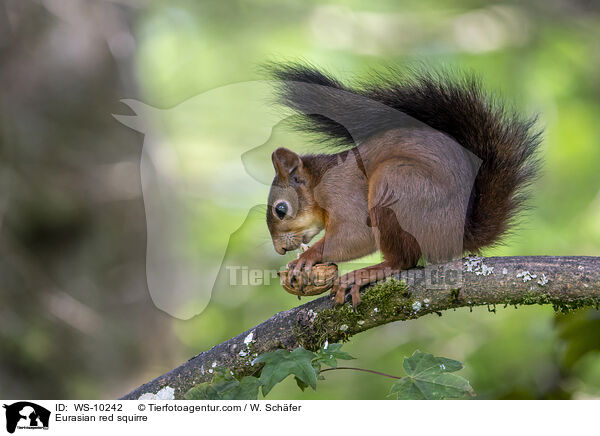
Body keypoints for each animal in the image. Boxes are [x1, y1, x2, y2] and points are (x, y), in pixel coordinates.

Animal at [264, 63, 540, 308]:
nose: (279, 249)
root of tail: (459, 233)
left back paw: (370, 272)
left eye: (280, 209)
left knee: (403, 261)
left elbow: (355, 234)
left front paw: (307, 257)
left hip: (396, 184)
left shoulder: (342, 192)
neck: (320, 181)